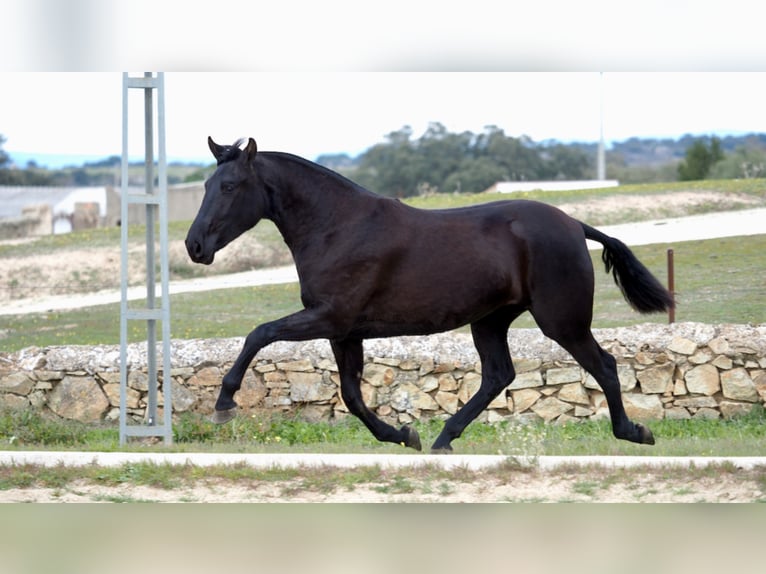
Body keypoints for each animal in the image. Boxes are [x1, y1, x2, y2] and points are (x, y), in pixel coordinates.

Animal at [188, 138, 680, 454]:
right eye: (207, 187)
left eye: (229, 186)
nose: (195, 246)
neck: (338, 227)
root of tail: (575, 225)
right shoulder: (344, 331)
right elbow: (351, 395)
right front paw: (403, 435)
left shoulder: (329, 317)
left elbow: (259, 334)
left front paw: (224, 404)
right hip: (491, 319)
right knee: (498, 375)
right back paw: (443, 439)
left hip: (562, 321)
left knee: (605, 366)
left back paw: (634, 431)